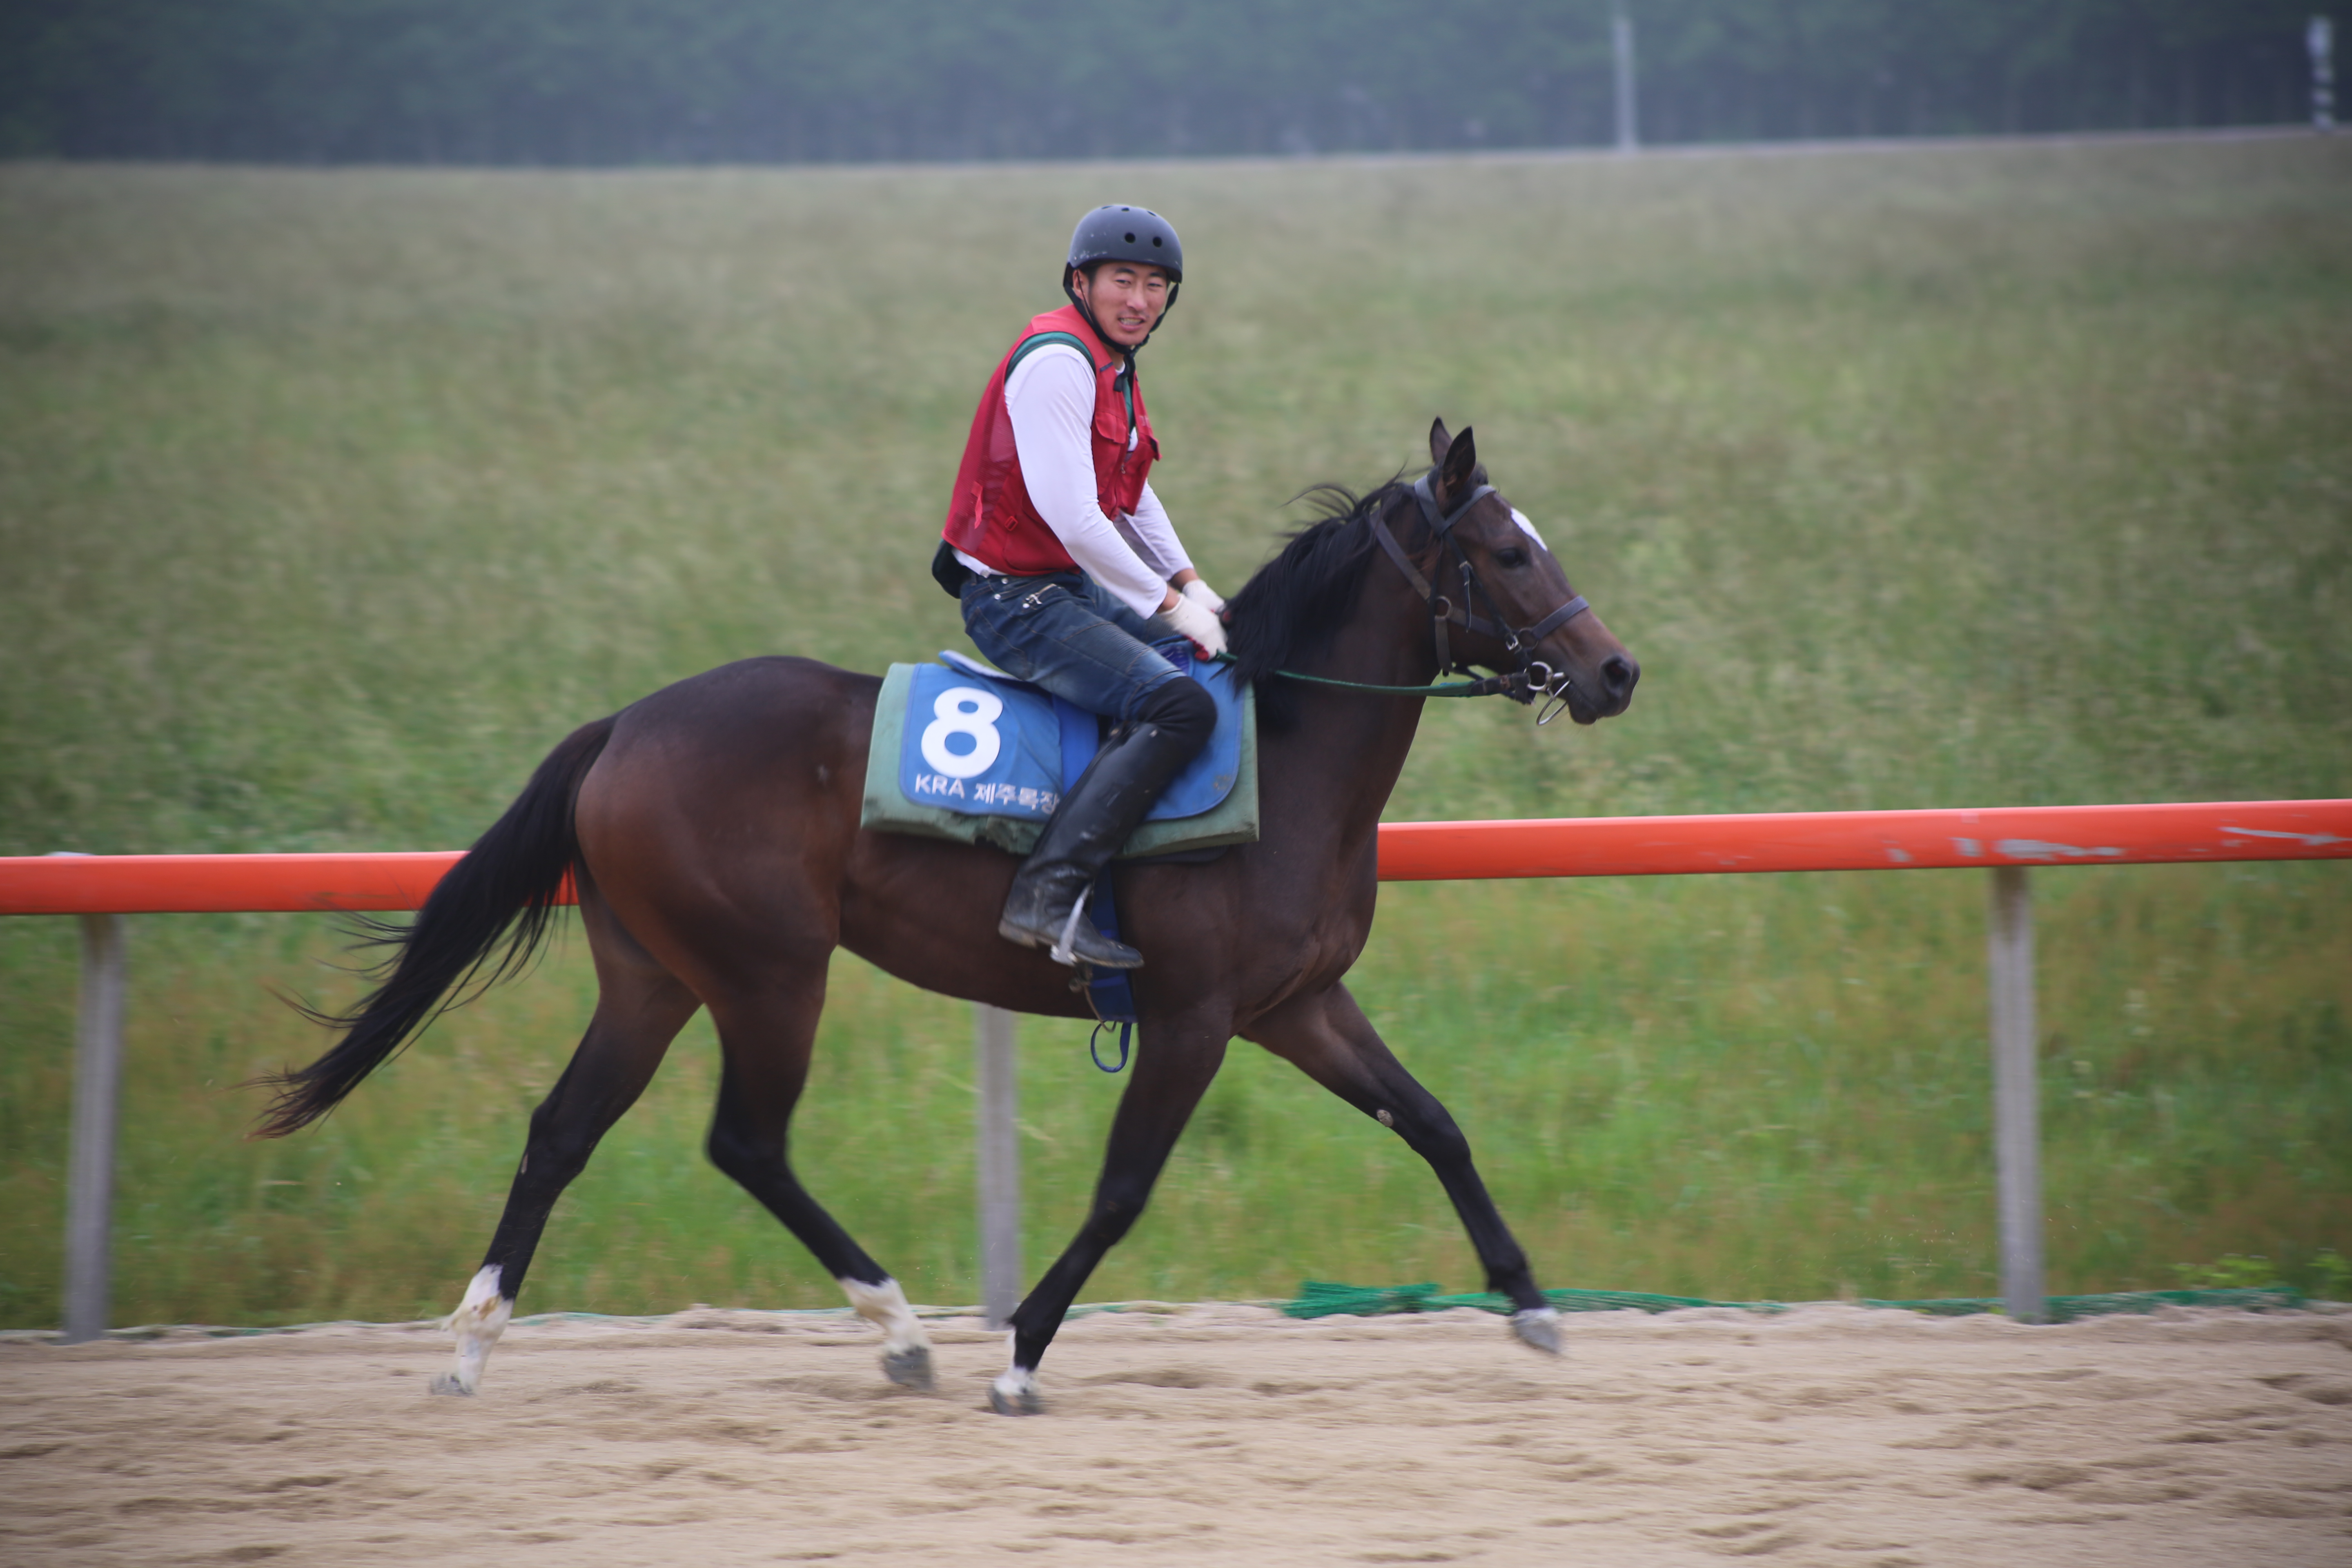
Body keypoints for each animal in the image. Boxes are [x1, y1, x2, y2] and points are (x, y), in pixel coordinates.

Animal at [262, 423, 1637, 1420]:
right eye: (1511, 554)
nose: (1616, 671)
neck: (1288, 757)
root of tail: (623, 727)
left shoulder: (1297, 1005)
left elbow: (1436, 1123)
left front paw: (1531, 1302)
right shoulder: (1194, 1019)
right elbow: (1124, 1189)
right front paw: (1020, 1353)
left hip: (654, 973)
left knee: (563, 1132)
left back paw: (474, 1343)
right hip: (768, 972)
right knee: (746, 1141)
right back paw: (902, 1327)